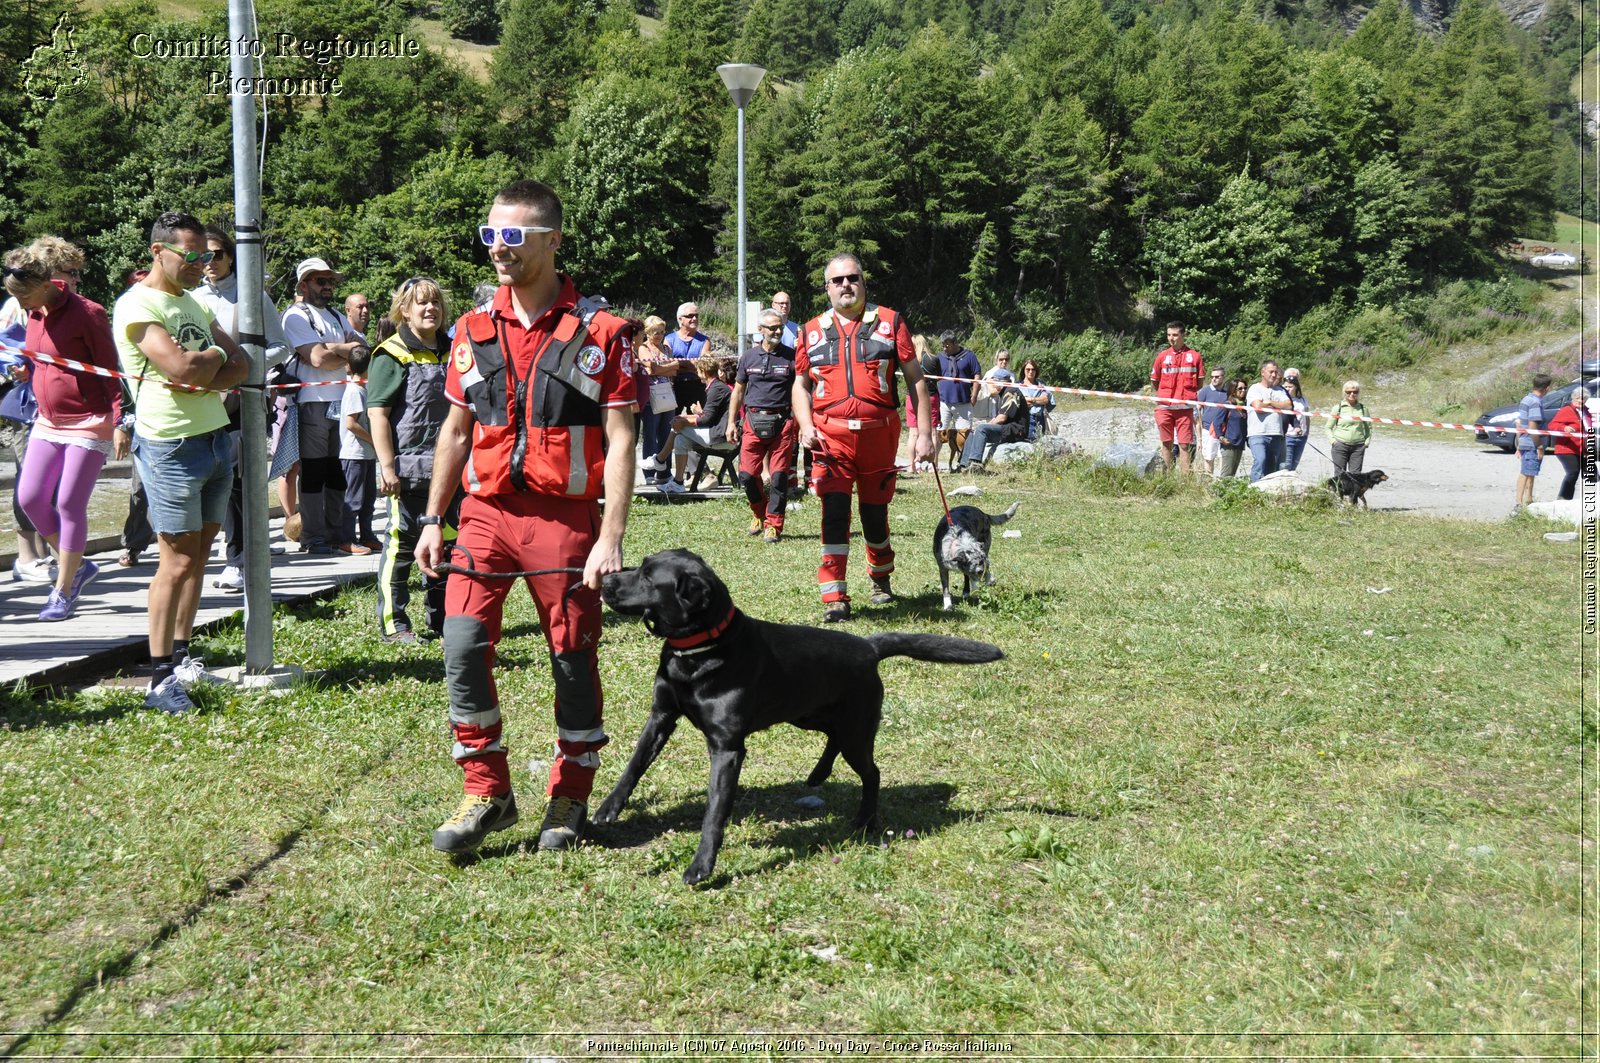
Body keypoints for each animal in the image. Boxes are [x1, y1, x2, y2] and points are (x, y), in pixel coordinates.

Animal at [601, 550, 998, 883]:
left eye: (649, 578)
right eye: (641, 565)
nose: (604, 582)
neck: (699, 650)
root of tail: (868, 646)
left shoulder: (727, 749)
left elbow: (714, 812)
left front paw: (701, 866)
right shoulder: (661, 716)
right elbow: (634, 764)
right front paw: (607, 809)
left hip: (855, 728)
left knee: (871, 771)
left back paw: (864, 820)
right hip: (807, 712)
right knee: (832, 738)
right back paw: (819, 773)